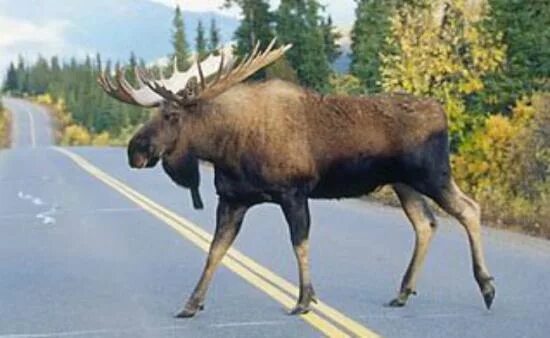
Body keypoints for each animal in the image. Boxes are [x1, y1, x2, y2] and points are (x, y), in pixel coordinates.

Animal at [97, 41, 498, 318]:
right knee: (426, 223)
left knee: (470, 209)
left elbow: (299, 244)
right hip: (404, 183)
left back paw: (487, 287)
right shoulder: (232, 200)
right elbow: (215, 251)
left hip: (431, 174)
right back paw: (402, 292)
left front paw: (304, 300)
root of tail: (442, 112)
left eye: (172, 115)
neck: (225, 147)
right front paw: (191, 304)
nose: (135, 149)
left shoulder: (293, 192)